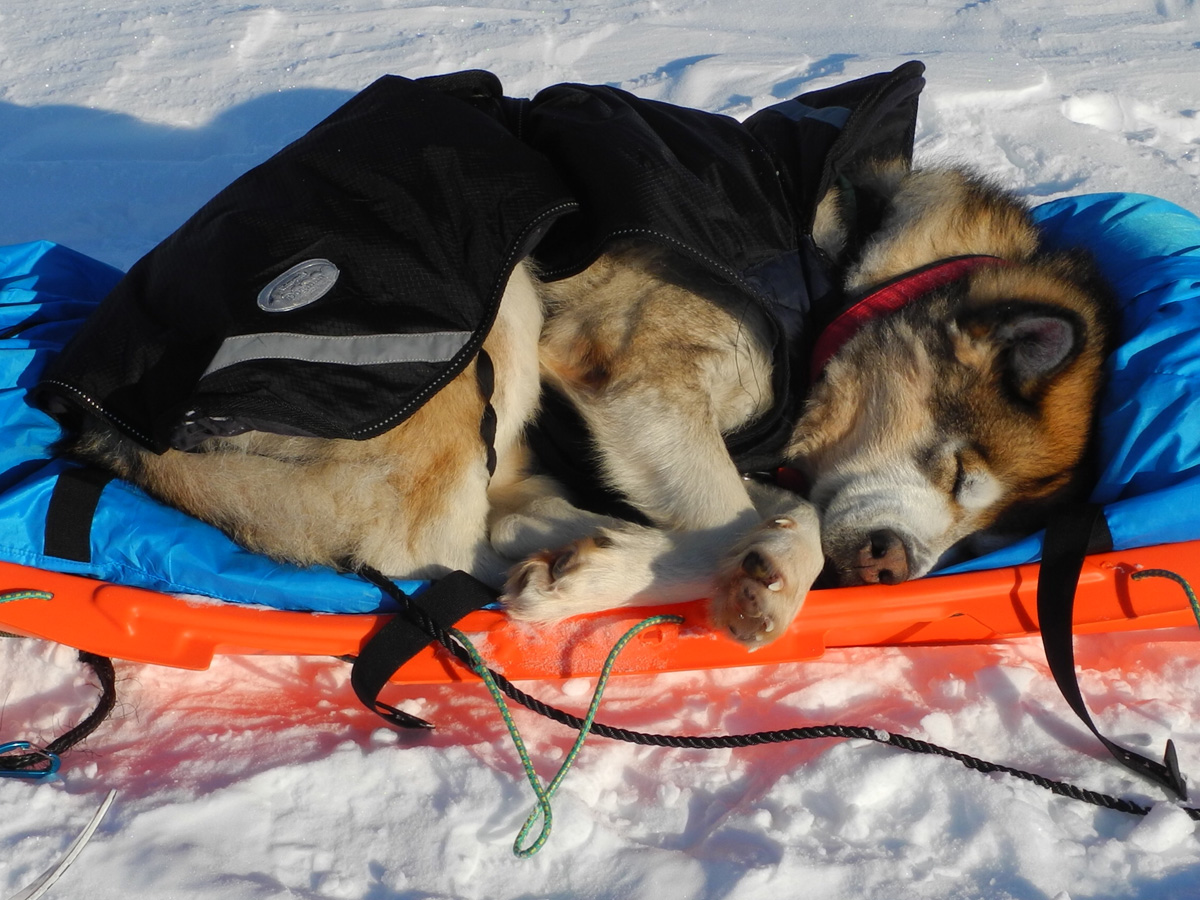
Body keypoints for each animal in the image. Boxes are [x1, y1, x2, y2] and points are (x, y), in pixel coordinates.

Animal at [65, 162, 1113, 643]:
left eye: (983, 539)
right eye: (960, 470)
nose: (897, 566)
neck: (841, 268)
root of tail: (107, 427)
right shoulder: (639, 381)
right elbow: (754, 509)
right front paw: (762, 564)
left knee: (494, 528)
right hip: (500, 306)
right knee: (438, 548)